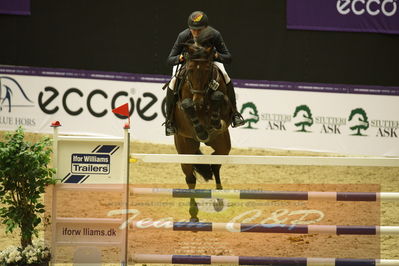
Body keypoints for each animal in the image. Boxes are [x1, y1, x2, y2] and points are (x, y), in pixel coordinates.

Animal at [173, 42, 234, 223]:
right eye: (190, 70)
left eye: (207, 70)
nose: (198, 101)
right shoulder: (184, 109)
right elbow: (187, 105)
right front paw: (200, 129)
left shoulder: (225, 107)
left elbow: (219, 97)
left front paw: (215, 121)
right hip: (185, 147)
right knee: (190, 178)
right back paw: (193, 214)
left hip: (222, 144)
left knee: (215, 164)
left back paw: (219, 200)